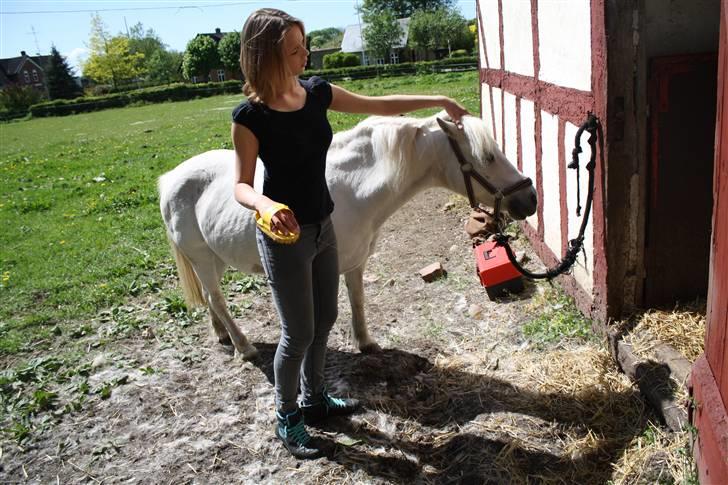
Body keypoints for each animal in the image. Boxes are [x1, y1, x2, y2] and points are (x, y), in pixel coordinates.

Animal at [158, 113, 537, 360]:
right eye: (488, 156)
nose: (530, 199)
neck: (351, 191)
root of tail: (171, 178)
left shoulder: (355, 262)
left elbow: (357, 300)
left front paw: (366, 343)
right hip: (202, 259)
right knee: (217, 299)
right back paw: (244, 347)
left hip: (216, 259)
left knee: (211, 300)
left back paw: (223, 335)